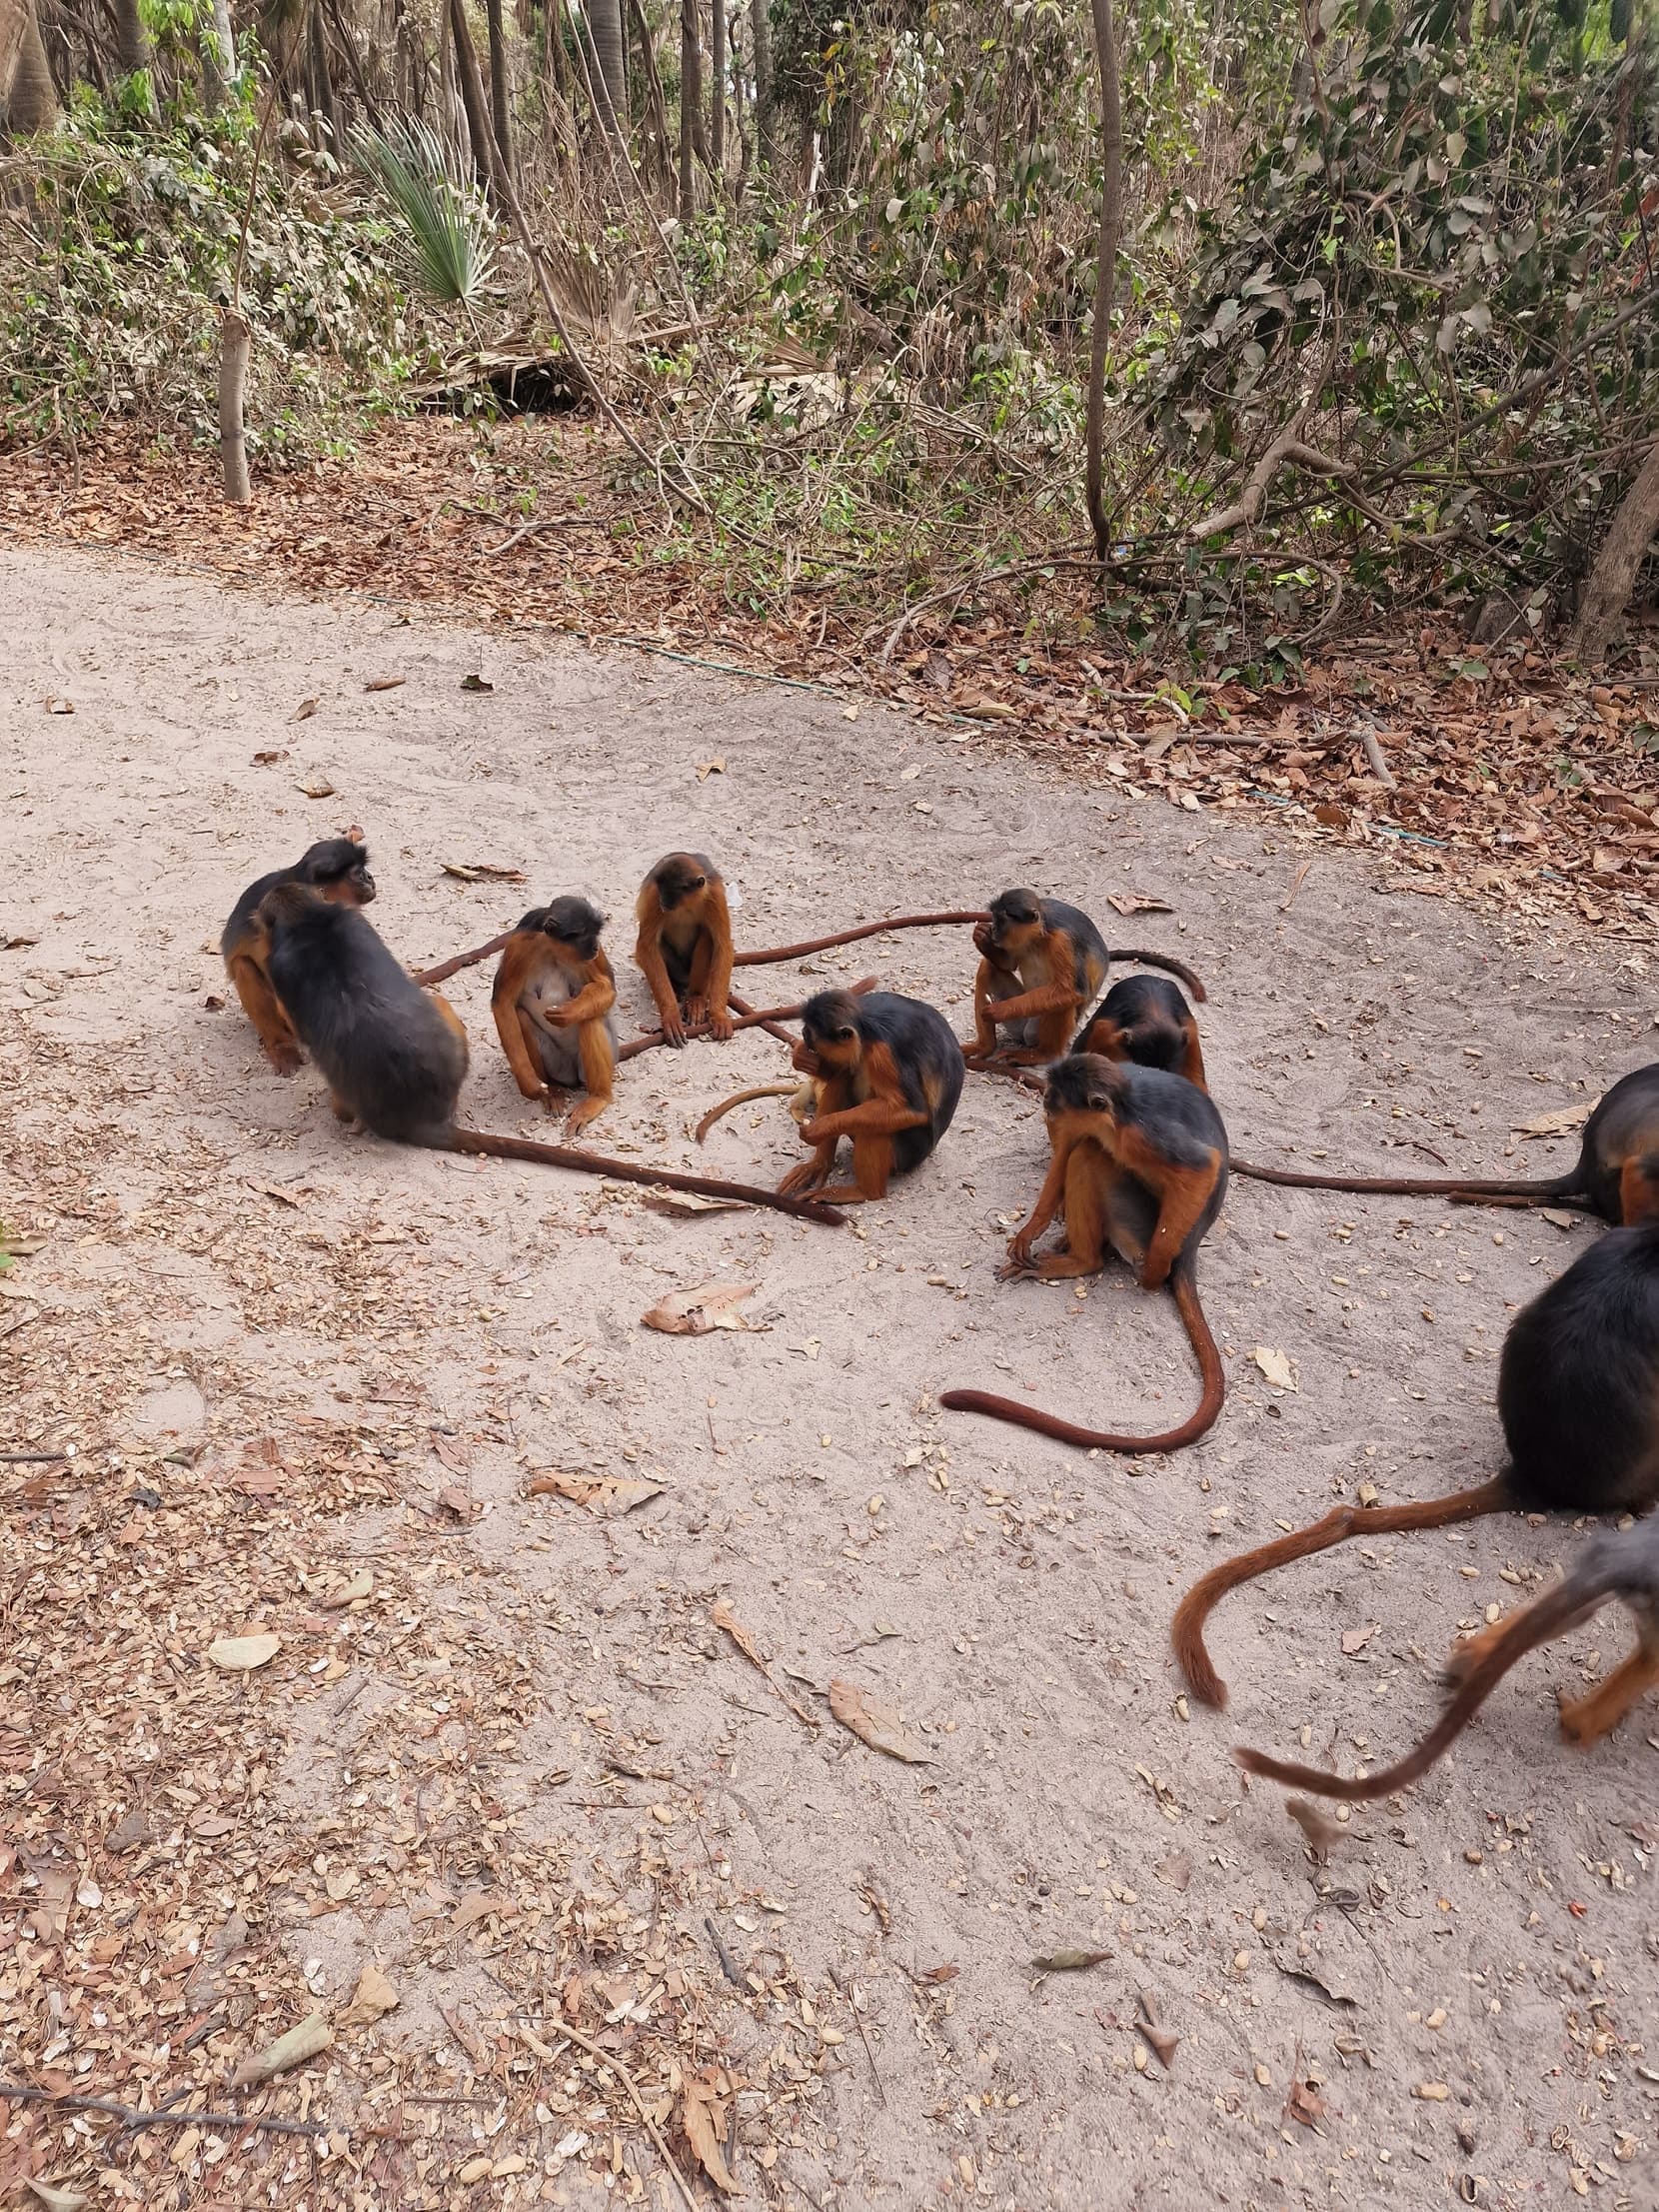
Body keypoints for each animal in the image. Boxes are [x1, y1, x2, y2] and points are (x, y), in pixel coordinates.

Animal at [491, 898, 616, 1134]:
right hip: (559, 1065)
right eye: (584, 935)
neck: (553, 950)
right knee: (521, 1016)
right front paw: (529, 1083)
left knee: (590, 1017)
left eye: (596, 933)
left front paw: (570, 1012)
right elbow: (503, 1002)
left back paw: (598, 1097)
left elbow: (607, 987)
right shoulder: (520, 944)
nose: (595, 946)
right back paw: (553, 1090)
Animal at [633, 853, 735, 1048]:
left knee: (707, 935)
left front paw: (719, 1016)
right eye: (662, 891)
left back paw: (696, 998)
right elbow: (646, 945)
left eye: (671, 892)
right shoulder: (654, 895)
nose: (663, 901)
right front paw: (671, 1015)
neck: (686, 905)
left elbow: (723, 945)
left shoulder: (714, 895)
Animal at [778, 989, 965, 1204]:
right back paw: (819, 1165)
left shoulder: (882, 1052)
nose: (802, 1034)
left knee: (875, 1126)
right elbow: (838, 1071)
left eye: (809, 1033)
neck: (865, 1023)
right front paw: (802, 1058)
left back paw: (865, 1192)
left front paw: (820, 1128)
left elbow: (911, 1109)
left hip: (910, 1153)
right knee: (844, 1075)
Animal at [939, 1055, 1228, 1453]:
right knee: (1086, 1149)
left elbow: (1202, 1166)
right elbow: (1067, 1148)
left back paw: (1086, 1261)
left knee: (1091, 1156)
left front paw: (1154, 1274)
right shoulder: (1082, 1121)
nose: (1045, 1100)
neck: (1117, 1115)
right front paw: (1032, 1228)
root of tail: (1193, 1244)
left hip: (1138, 1225)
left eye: (1057, 1095)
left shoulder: (1143, 1134)